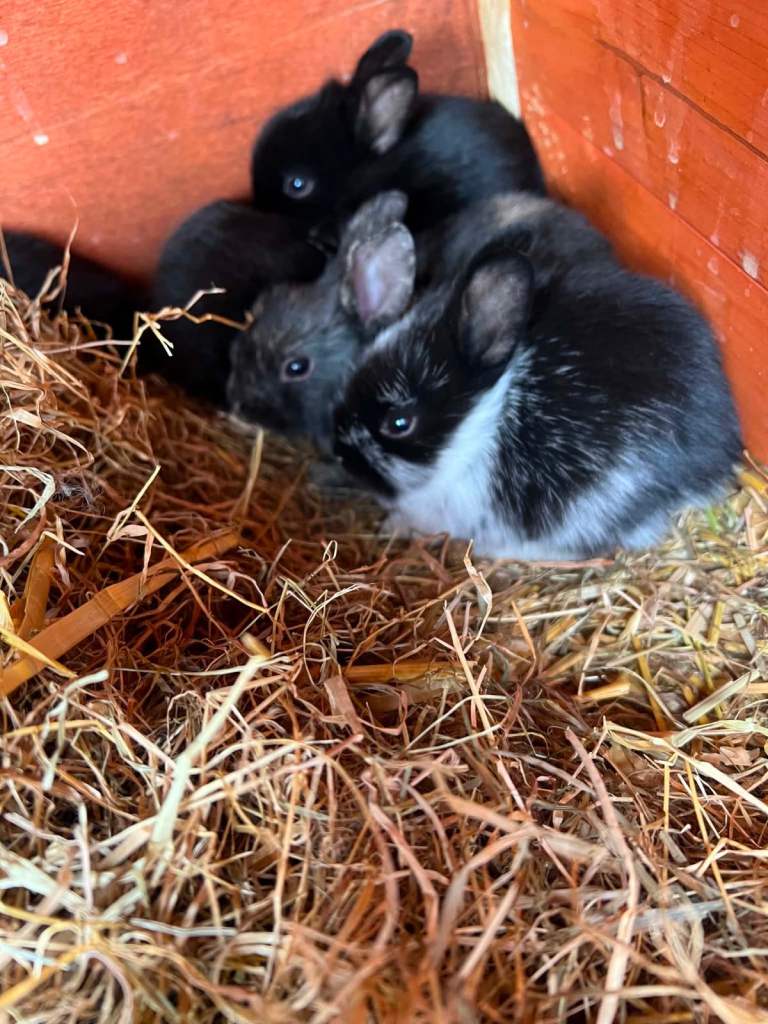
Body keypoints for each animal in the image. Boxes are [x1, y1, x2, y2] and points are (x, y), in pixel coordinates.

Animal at [333, 227, 743, 560]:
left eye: (399, 423)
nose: (340, 455)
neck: (482, 421)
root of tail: (716, 458)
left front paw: (395, 526)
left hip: (596, 504)